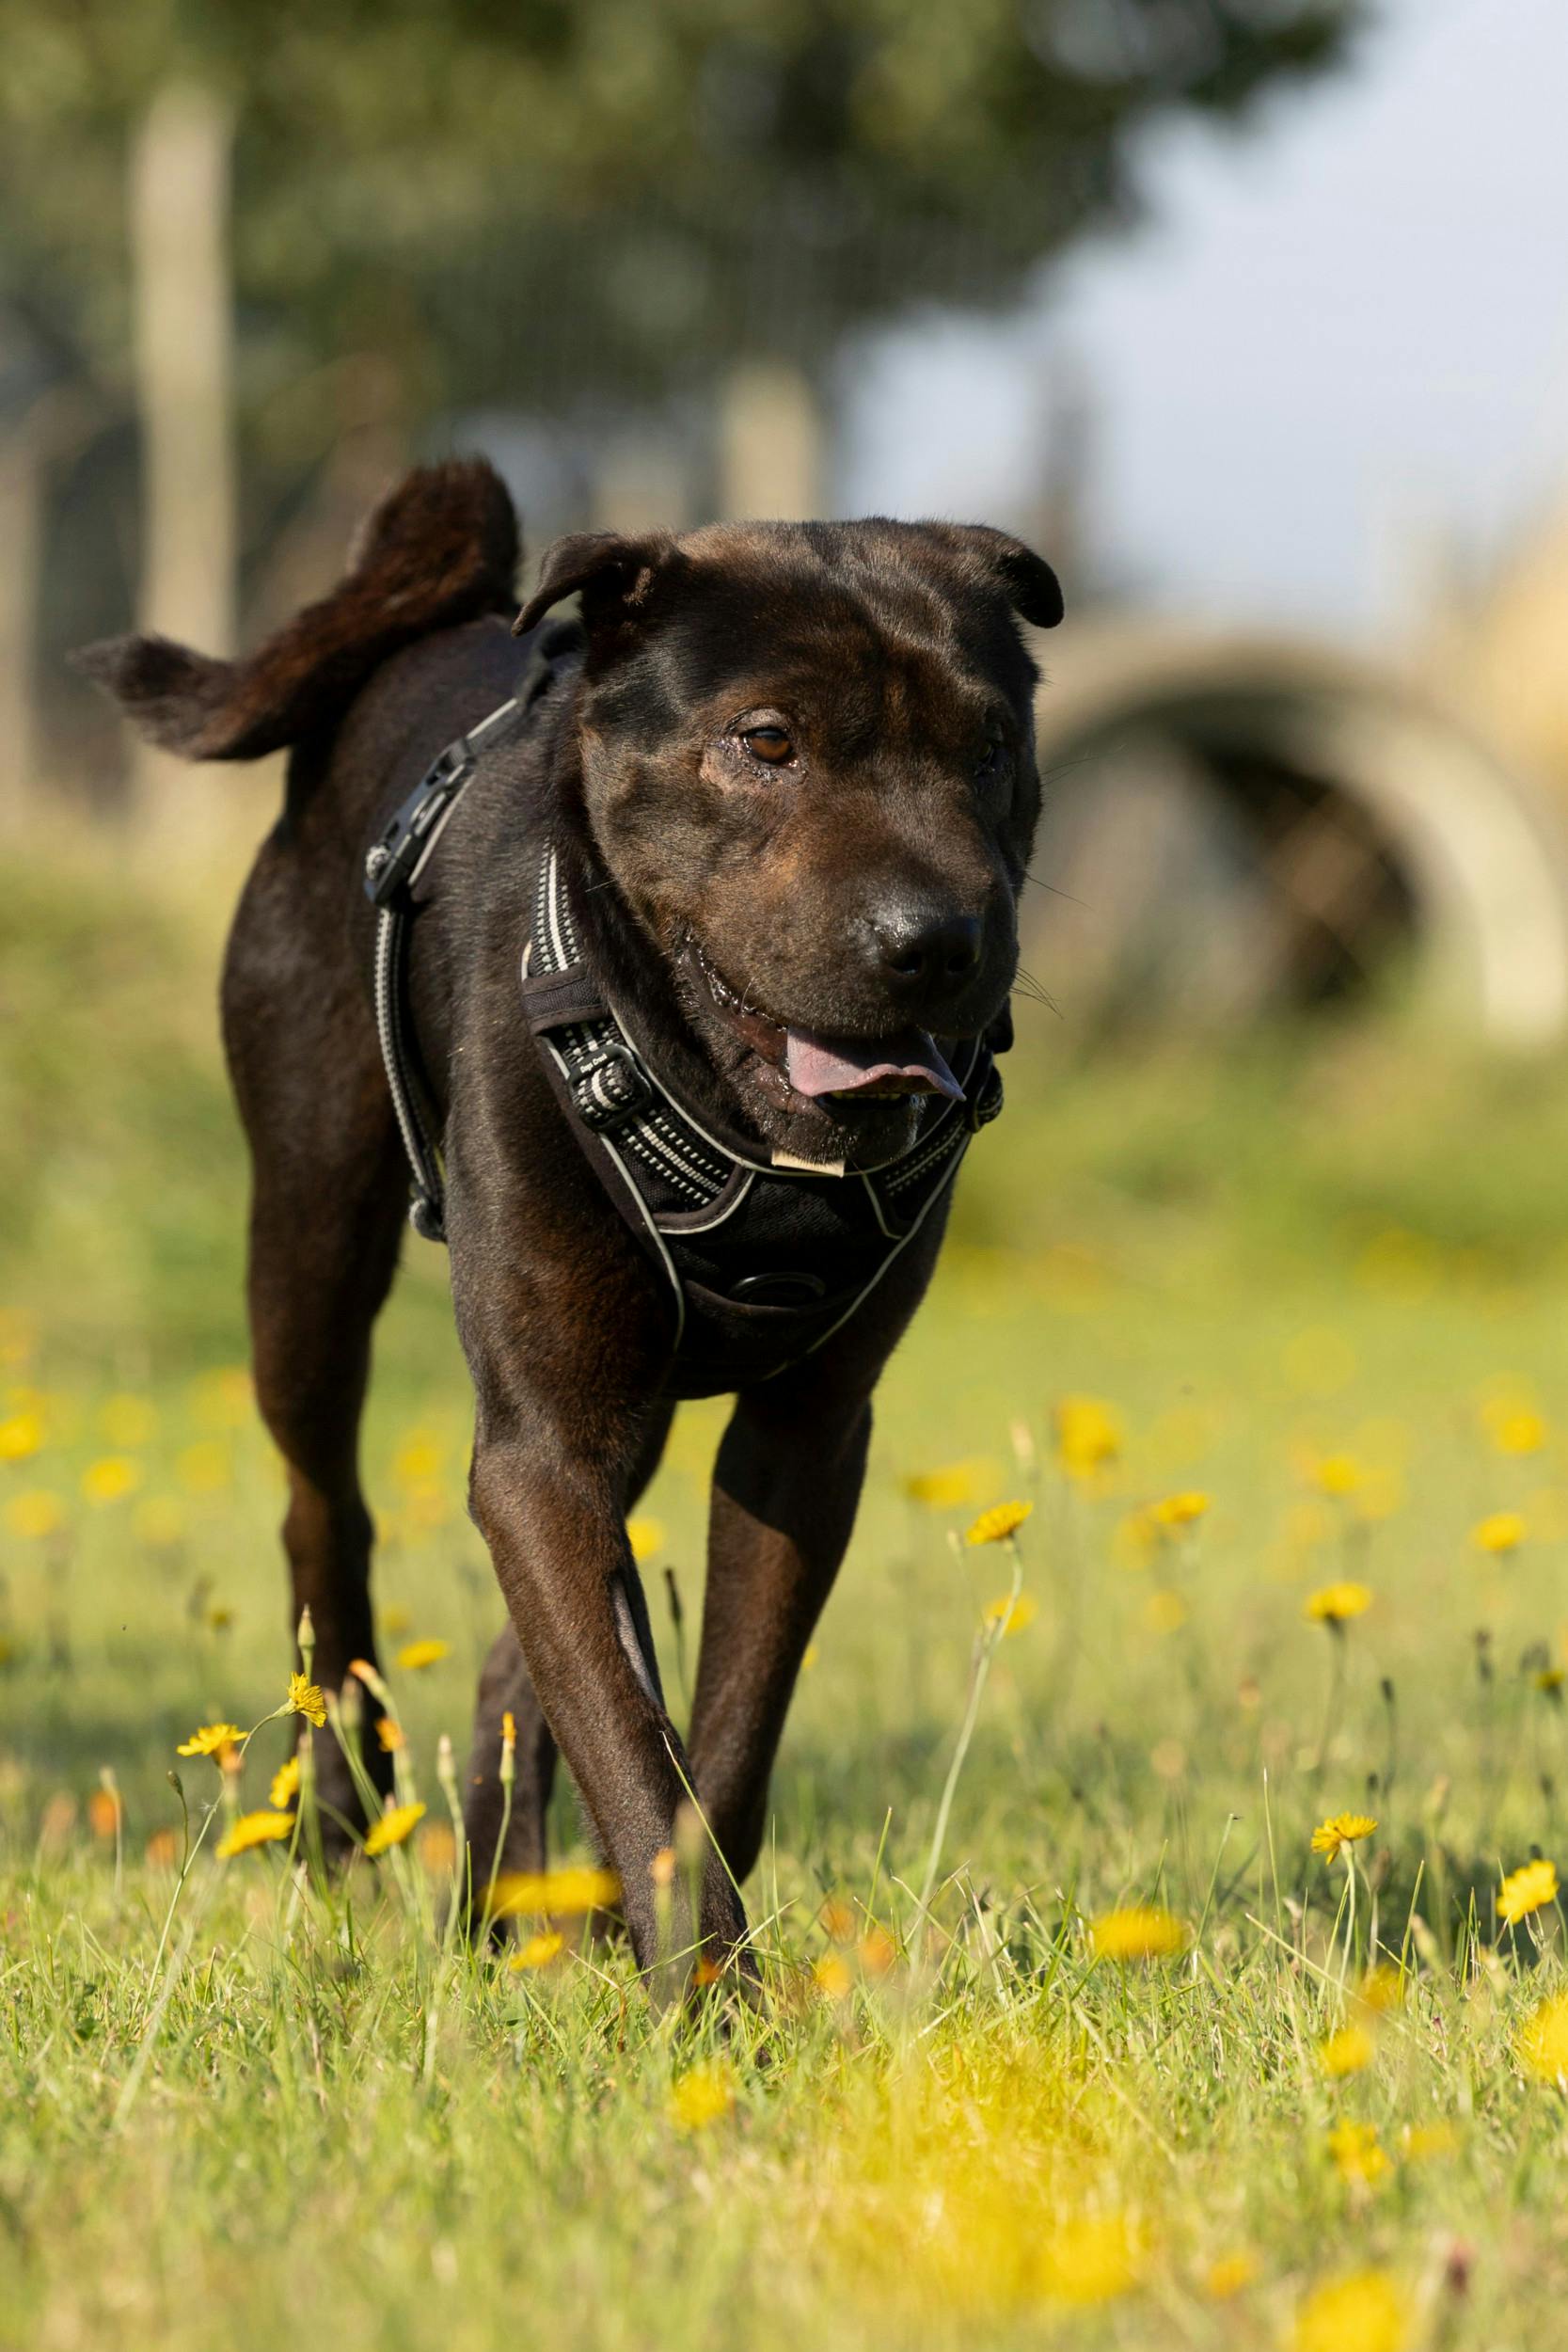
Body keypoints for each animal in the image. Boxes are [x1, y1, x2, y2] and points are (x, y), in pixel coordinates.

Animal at [86, 453, 1067, 1966]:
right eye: (765, 740)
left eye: (989, 748)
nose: (933, 943)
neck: (740, 1136)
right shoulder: (542, 1443)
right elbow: (619, 1719)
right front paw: (711, 1995)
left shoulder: (800, 1435)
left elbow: (711, 1729)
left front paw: (658, 1919)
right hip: (308, 1248)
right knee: (324, 1514)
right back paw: (342, 1809)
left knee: (519, 1646)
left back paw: (508, 1891)